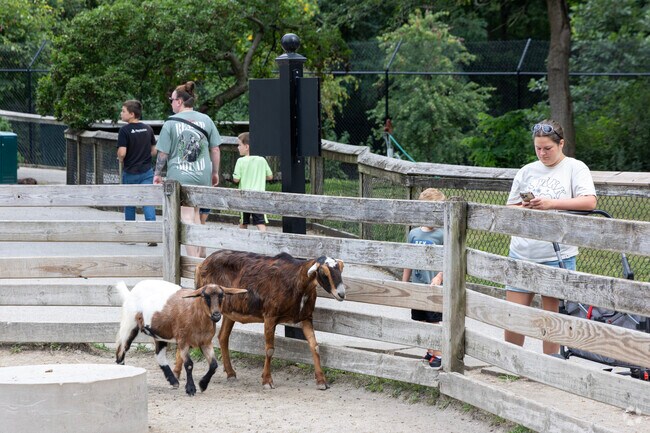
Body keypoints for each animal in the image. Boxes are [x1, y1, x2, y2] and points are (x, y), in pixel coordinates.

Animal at [115, 280, 247, 396]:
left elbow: (214, 365)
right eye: (205, 296)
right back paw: (122, 371)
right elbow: (189, 364)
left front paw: (203, 385)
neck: (196, 314)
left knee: (159, 356)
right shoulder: (183, 341)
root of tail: (130, 292)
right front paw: (191, 389)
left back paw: (173, 381)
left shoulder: (206, 342)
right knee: (121, 349)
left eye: (222, 295)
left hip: (159, 334)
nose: (216, 315)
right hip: (129, 323)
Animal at [193, 250, 346, 390]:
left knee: (223, 337)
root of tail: (201, 264)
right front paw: (267, 380)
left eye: (340, 269)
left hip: (230, 312)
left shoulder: (306, 317)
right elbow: (269, 350)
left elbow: (315, 347)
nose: (341, 294)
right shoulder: (270, 316)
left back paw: (230, 374)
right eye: (324, 272)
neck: (296, 280)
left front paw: (321, 381)